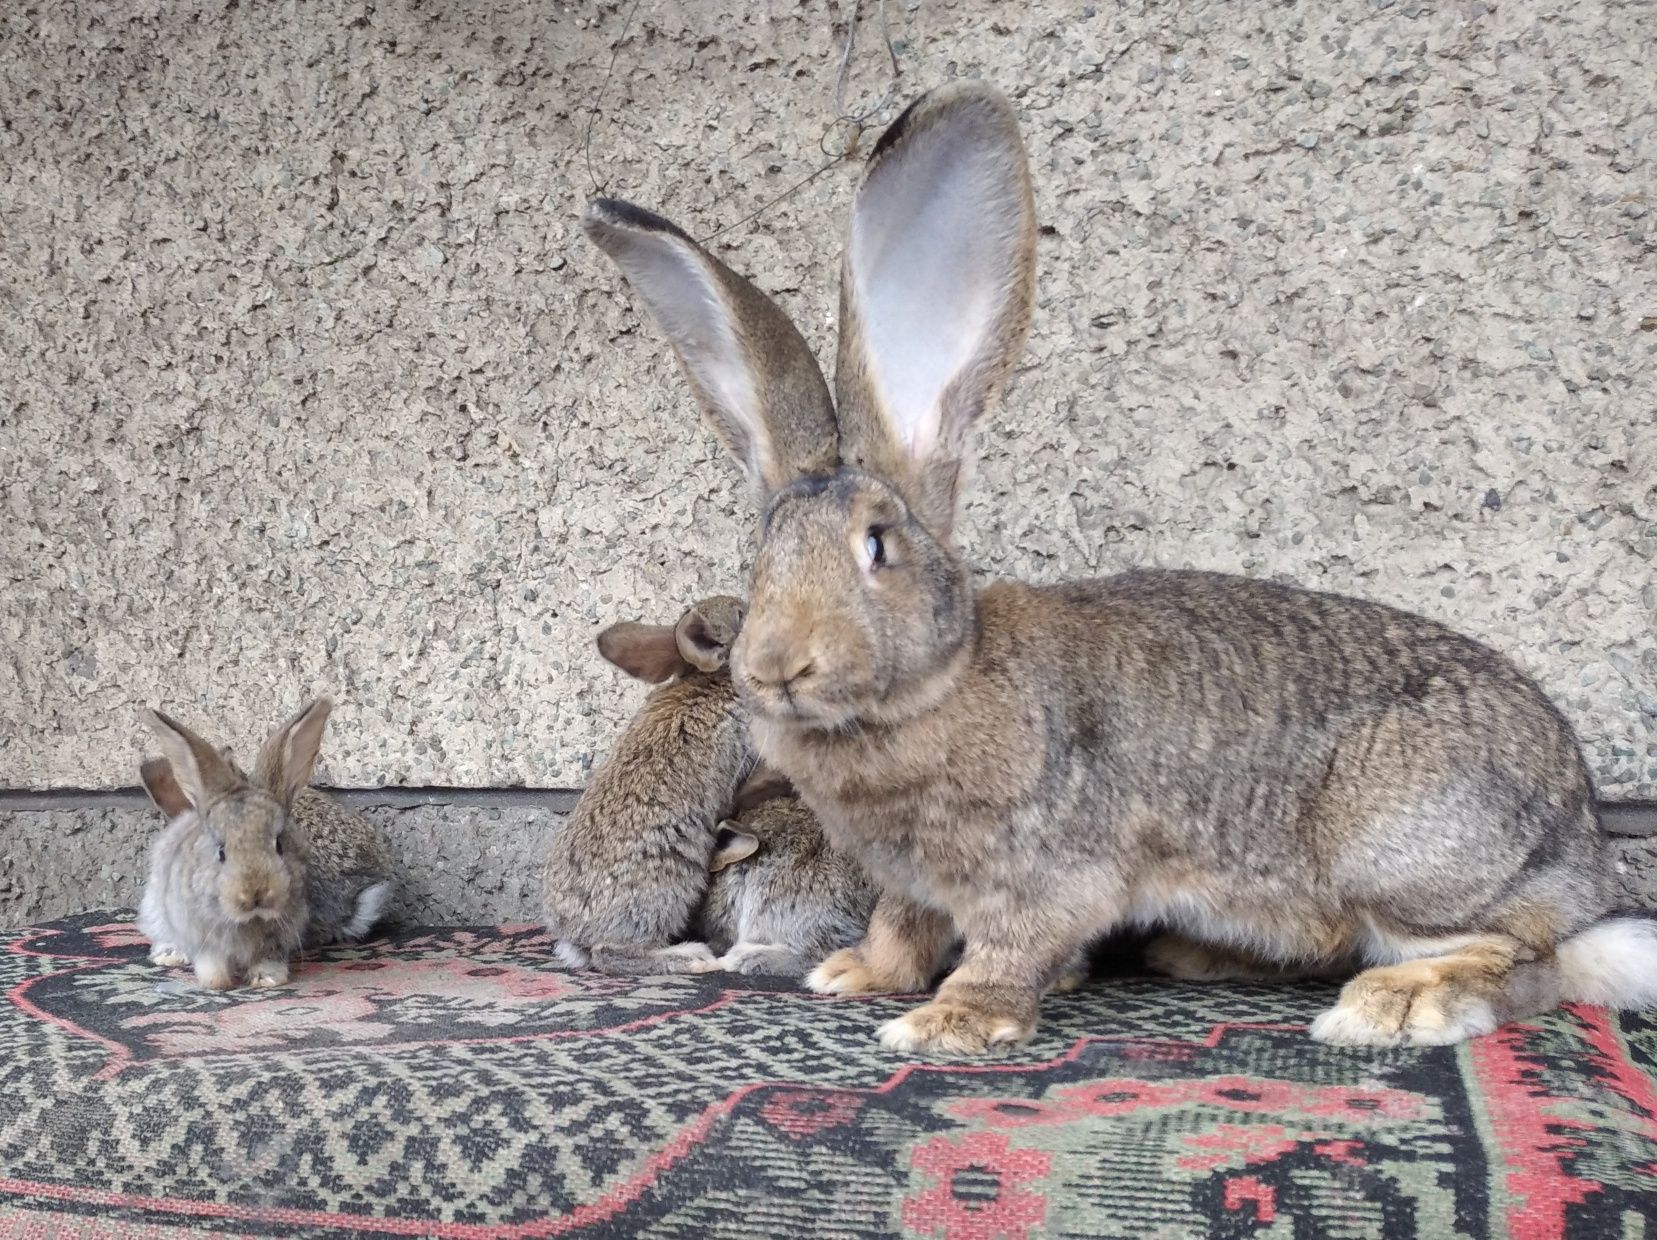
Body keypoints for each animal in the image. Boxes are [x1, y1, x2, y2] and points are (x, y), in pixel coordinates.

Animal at [543, 596, 752, 974]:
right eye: (740, 615)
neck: (712, 680)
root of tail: (574, 936)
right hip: (669, 884)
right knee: (610, 954)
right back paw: (692, 957)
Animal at [576, 82, 1650, 1054]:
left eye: (877, 546)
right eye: (761, 557)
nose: (775, 667)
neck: (938, 685)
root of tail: (1582, 852)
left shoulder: (1047, 867)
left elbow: (1013, 945)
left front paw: (947, 1024)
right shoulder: (916, 884)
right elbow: (902, 927)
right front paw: (855, 976)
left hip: (1403, 849)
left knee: (1525, 958)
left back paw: (1396, 1007)